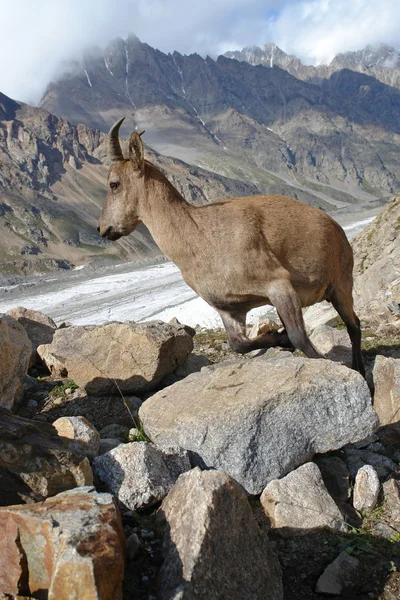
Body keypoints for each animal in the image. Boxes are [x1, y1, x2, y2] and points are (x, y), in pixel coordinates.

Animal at [97, 118, 366, 376]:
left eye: (114, 184)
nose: (102, 228)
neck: (200, 236)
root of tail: (338, 229)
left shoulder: (278, 285)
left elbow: (299, 337)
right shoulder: (229, 308)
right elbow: (238, 344)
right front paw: (279, 338)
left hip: (341, 284)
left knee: (354, 324)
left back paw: (360, 368)